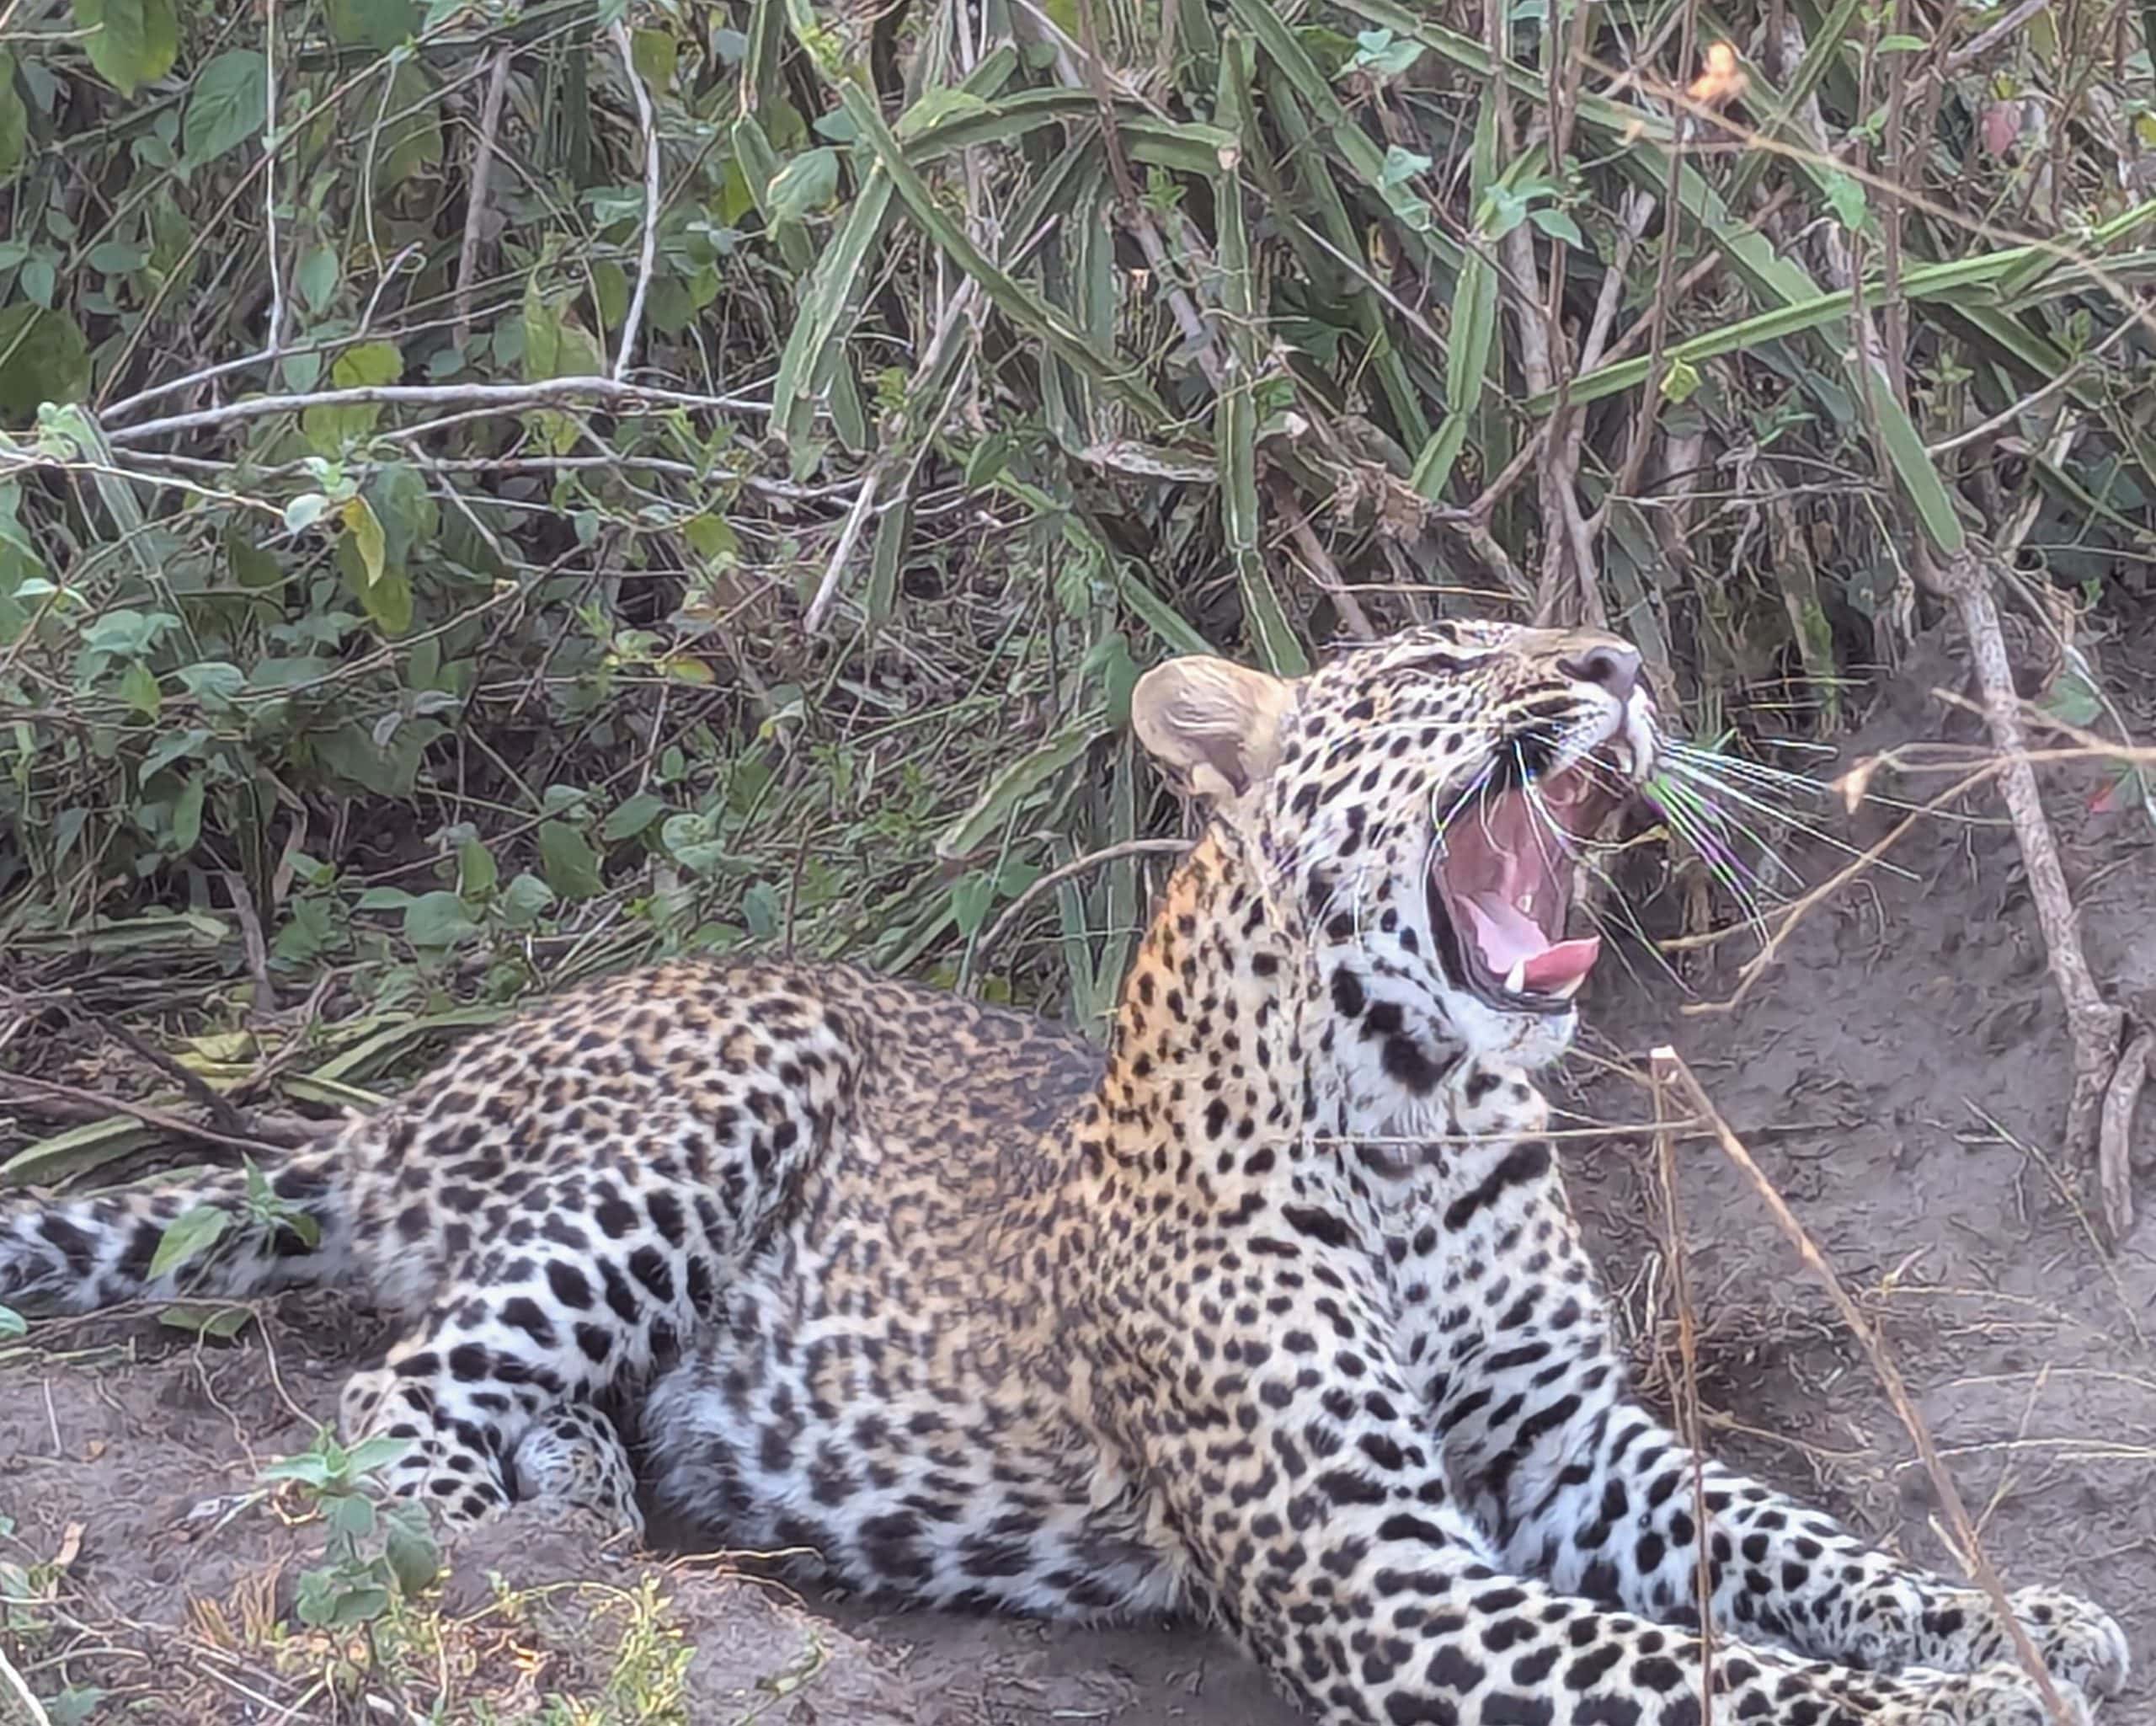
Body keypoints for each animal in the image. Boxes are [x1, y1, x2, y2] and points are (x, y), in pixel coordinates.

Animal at [0, 621, 2129, 1726]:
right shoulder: (1374, 1565)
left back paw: (595, 1490)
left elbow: (1784, 1546)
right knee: (399, 1386)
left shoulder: (1556, 1441)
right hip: (723, 1089)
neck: (1418, 1111)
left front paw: (2016, 1622)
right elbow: (1710, 1670)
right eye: (1448, 651)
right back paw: (501, 1557)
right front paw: (1965, 1702)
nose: (1617, 653)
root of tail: (431, 1075)